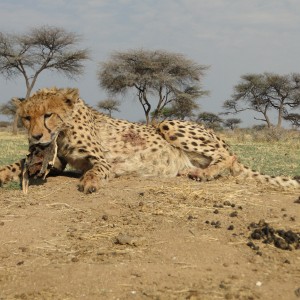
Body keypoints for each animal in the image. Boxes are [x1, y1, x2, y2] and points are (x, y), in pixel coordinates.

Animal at [0, 86, 298, 193]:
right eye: (26, 118)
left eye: (48, 115)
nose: (35, 137)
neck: (62, 130)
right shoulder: (56, 161)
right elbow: (18, 164)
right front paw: (4, 172)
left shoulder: (102, 161)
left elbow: (97, 169)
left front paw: (89, 181)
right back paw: (191, 171)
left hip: (167, 123)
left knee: (228, 156)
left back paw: (204, 174)